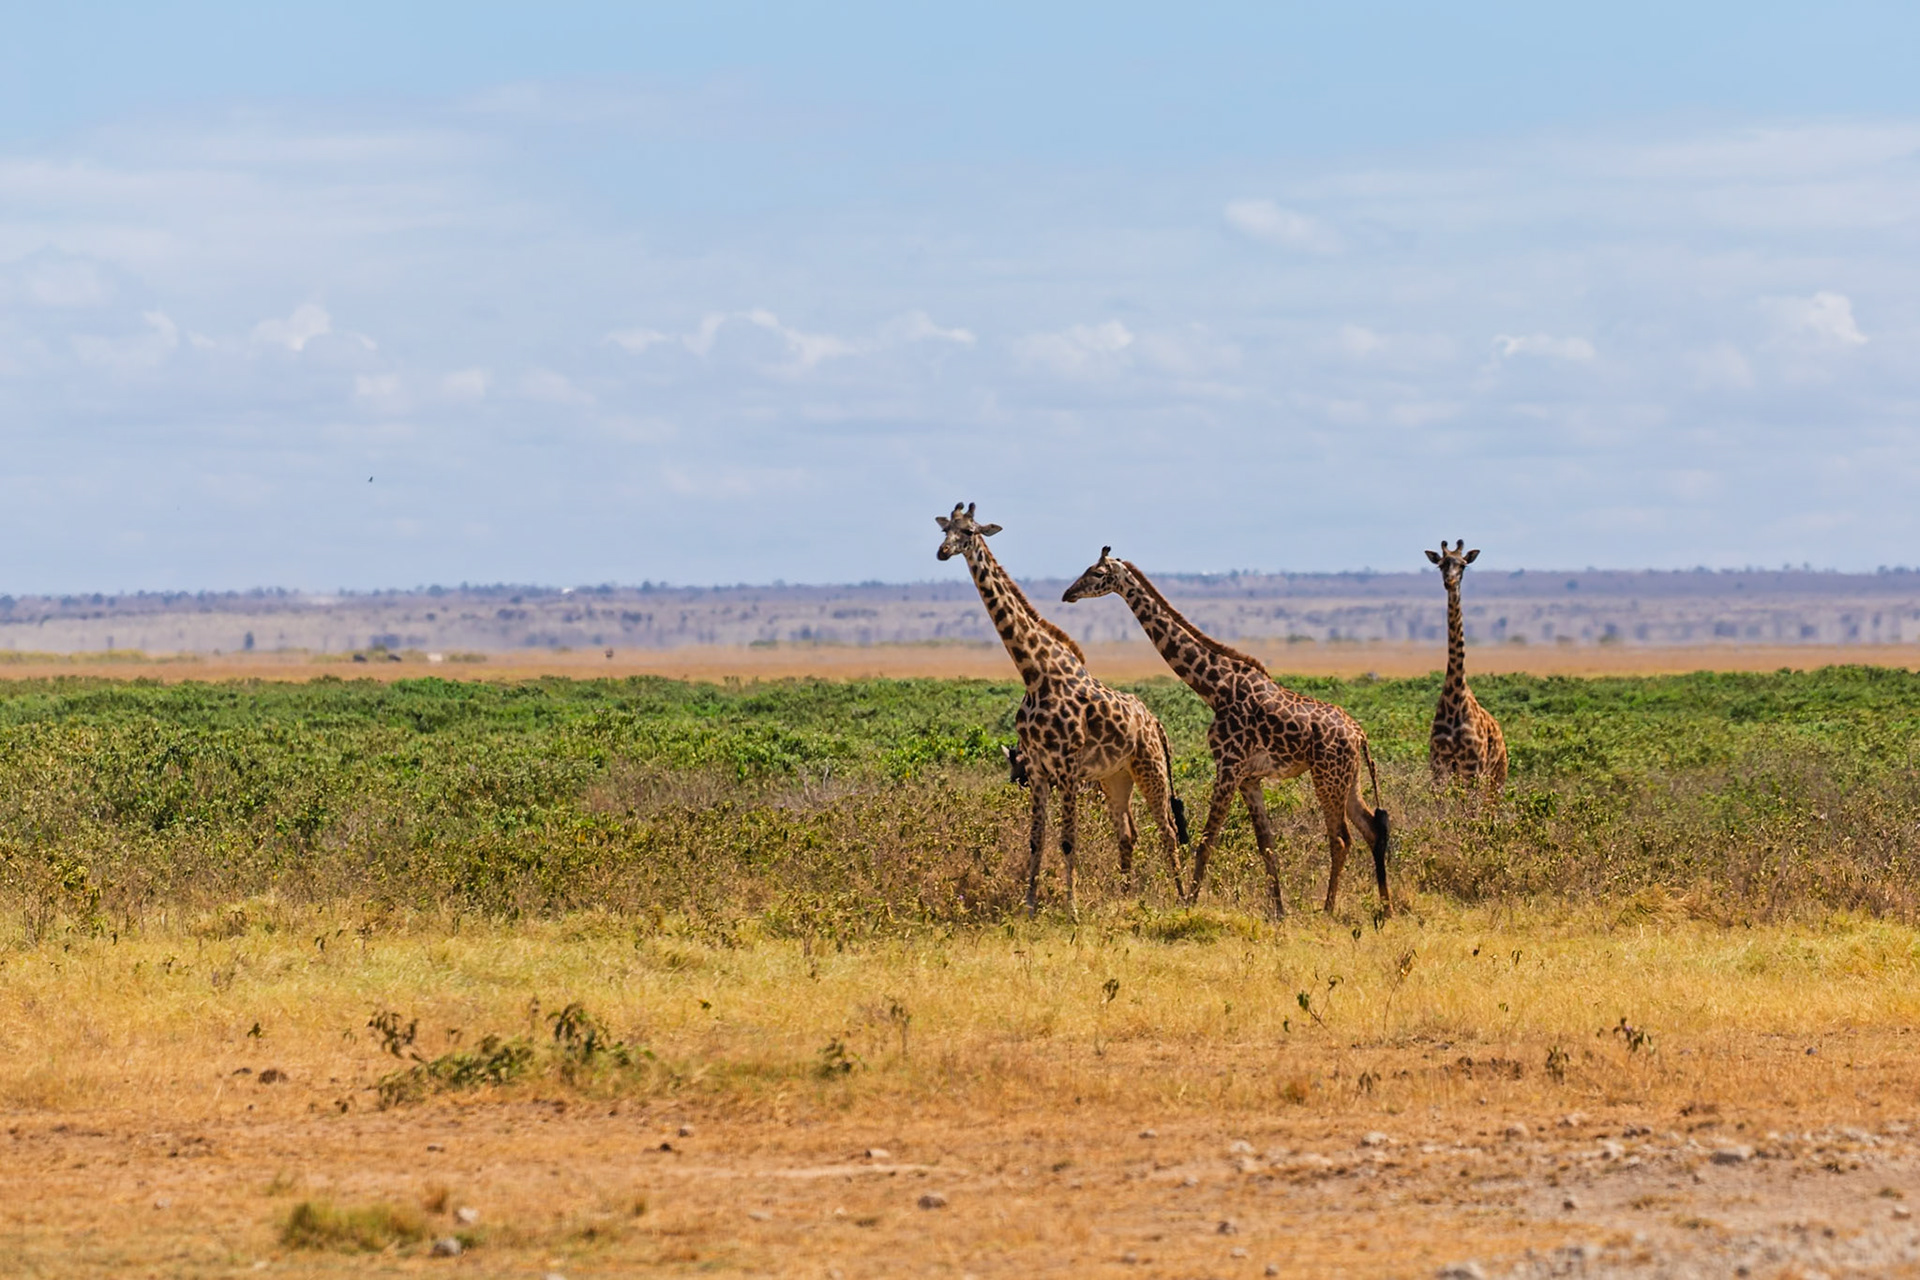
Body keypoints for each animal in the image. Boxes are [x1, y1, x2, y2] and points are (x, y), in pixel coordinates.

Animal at [935, 504, 1189, 913]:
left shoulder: (1068, 768)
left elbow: (1069, 840)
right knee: (1128, 831)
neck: (1035, 674)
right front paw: (1029, 905)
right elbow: (1036, 840)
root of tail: (1155, 722)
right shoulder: (1039, 769)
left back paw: (1183, 898)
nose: (943, 552)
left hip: (1149, 767)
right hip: (1115, 776)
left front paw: (1072, 910)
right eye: (946, 530)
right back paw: (1126, 897)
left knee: (1166, 827)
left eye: (970, 531)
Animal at [1062, 547, 1391, 918]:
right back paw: (1386, 908)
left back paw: (1328, 909)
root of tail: (1359, 733)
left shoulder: (1228, 766)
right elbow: (1266, 846)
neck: (1215, 687)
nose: (1068, 593)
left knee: (1340, 838)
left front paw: (1189, 903)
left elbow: (1206, 841)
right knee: (1371, 829)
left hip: (1328, 776)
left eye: (1096, 573)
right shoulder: (1249, 778)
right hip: (1349, 777)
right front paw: (1279, 911)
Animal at [1426, 539, 1507, 804]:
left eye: (1463, 565)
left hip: (1497, 776)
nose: (1450, 582)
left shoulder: (1473, 768)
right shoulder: (1439, 766)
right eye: (1441, 564)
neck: (1456, 699)